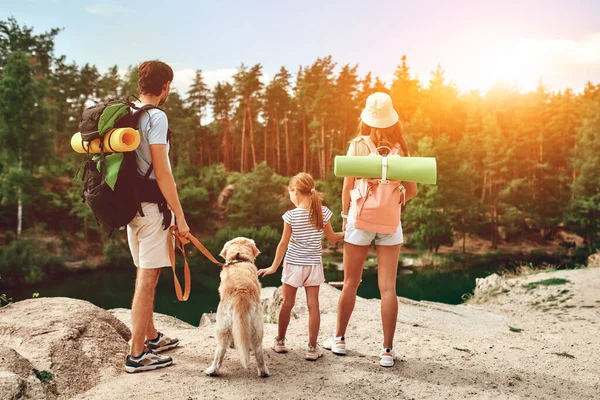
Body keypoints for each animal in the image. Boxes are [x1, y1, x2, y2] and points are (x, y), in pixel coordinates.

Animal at [204, 238, 270, 378]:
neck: (239, 259)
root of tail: (241, 292)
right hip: (257, 326)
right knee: (258, 350)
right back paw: (263, 372)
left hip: (222, 325)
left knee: (220, 350)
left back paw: (212, 370)